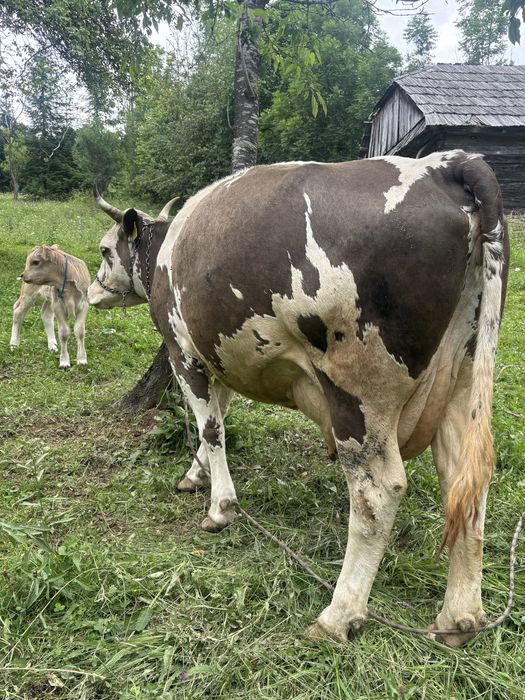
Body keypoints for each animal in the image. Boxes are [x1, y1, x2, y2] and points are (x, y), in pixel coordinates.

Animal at [88, 151, 508, 646]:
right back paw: (459, 617)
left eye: (105, 250)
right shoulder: (218, 354)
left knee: (377, 492)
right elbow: (219, 413)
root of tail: (447, 164)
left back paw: (339, 614)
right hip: (462, 378)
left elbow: (211, 427)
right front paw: (196, 474)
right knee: (468, 481)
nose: (92, 290)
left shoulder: (183, 350)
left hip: (359, 390)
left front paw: (220, 506)